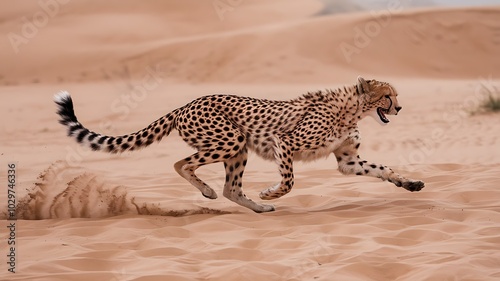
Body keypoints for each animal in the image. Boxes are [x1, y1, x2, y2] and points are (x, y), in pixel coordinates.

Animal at [53, 76, 422, 212]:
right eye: (387, 96)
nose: (400, 108)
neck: (350, 109)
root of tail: (187, 103)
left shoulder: (348, 161)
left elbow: (383, 168)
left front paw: (411, 183)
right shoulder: (282, 141)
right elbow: (289, 181)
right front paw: (270, 192)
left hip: (237, 148)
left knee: (230, 187)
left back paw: (254, 207)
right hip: (231, 140)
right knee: (181, 163)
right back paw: (209, 192)